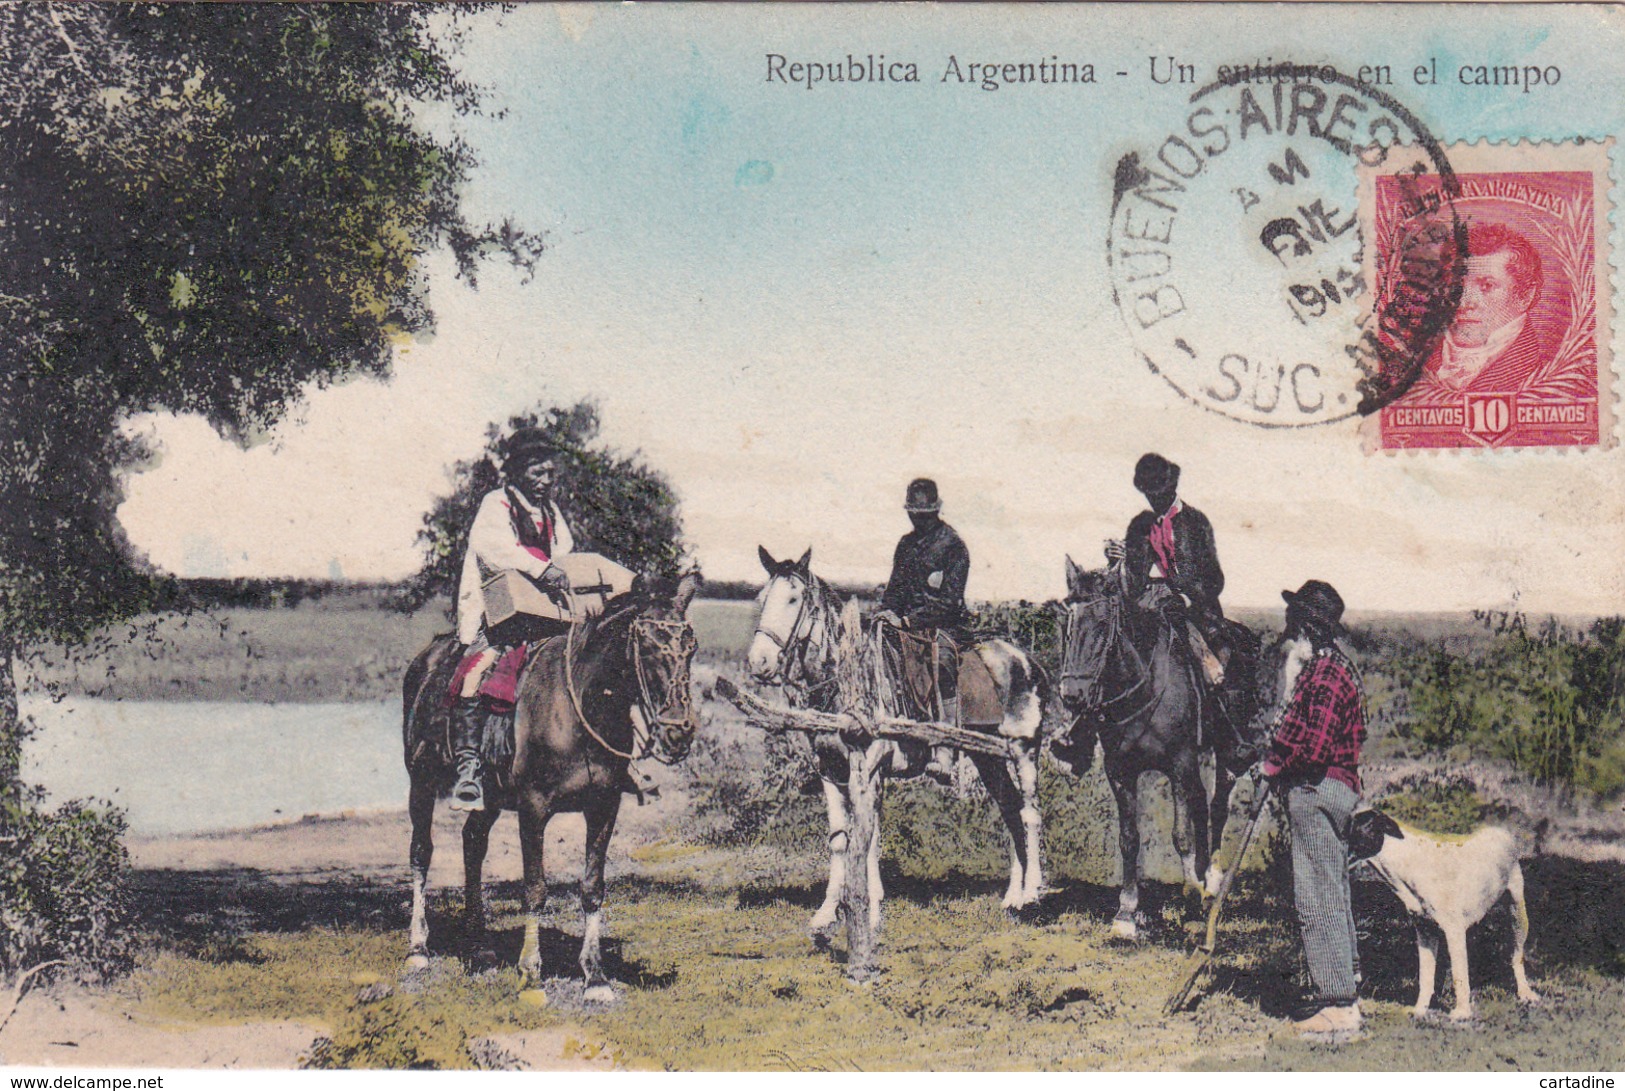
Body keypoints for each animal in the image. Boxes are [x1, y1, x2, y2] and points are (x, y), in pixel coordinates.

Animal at [403, 572, 702, 1001]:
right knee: (421, 853)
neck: (581, 706)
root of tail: (427, 658)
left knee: (473, 845)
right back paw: (418, 949)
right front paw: (531, 973)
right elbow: (535, 888)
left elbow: (592, 887)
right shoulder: (533, 808)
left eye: (691, 648)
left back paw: (479, 948)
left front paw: (595, 977)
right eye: (647, 646)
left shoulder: (603, 807)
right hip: (421, 782)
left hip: (489, 800)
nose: (680, 733)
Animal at [747, 546, 1053, 949]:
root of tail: (1026, 660)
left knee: (1029, 813)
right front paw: (825, 915)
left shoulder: (872, 769)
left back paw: (1032, 892)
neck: (847, 681)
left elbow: (870, 837)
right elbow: (840, 839)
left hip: (1023, 749)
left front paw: (872, 914)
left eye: (793, 599)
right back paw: (1013, 897)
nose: (759, 663)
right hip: (989, 757)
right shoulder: (829, 771)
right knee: (1011, 810)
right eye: (762, 598)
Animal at [1053, 559, 1267, 943]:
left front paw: (1191, 901)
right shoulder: (1120, 771)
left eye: (1103, 624)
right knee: (1201, 804)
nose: (1072, 696)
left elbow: (1181, 835)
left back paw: (1210, 882)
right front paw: (1125, 913)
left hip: (1226, 753)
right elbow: (1129, 838)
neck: (1144, 689)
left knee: (1217, 807)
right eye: (1068, 624)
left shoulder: (1179, 764)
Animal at [1352, 809, 1540, 1027]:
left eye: (1354, 826)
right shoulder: (1425, 932)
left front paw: (1462, 1012)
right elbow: (1426, 975)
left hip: (1517, 912)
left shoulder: (1454, 931)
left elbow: (1459, 973)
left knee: (1516, 956)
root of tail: (1499, 830)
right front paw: (1421, 1008)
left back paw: (1525, 992)